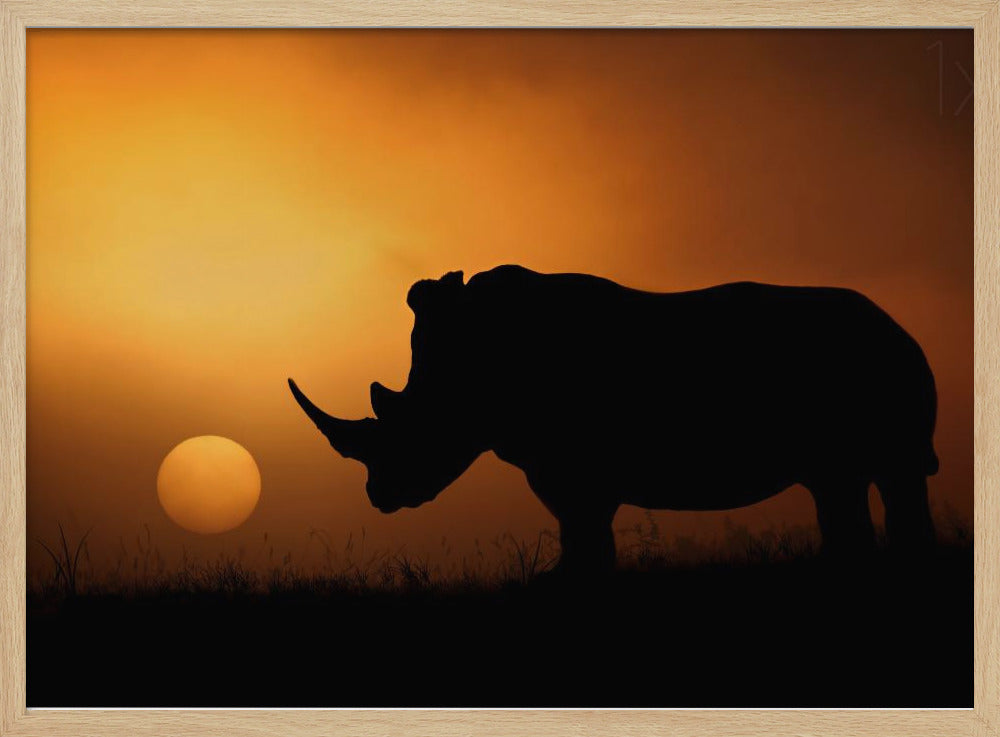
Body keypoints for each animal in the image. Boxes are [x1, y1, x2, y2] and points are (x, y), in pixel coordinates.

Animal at [289, 265, 938, 573]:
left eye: (410, 429)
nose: (379, 496)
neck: (467, 372)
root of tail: (899, 325)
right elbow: (581, 526)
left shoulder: (570, 463)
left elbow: (582, 524)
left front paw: (565, 582)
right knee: (847, 482)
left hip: (877, 363)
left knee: (880, 475)